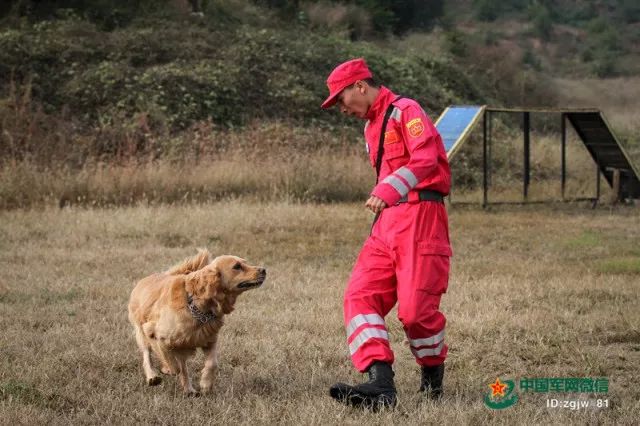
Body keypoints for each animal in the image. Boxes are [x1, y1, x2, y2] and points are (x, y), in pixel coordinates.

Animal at [127, 248, 264, 394]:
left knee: (183, 367)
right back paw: (153, 377)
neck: (196, 305)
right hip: (142, 334)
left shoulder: (209, 339)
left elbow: (212, 363)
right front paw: (167, 369)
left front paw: (206, 384)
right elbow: (171, 361)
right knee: (147, 356)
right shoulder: (153, 332)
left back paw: (189, 390)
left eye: (245, 262)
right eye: (237, 266)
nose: (264, 270)